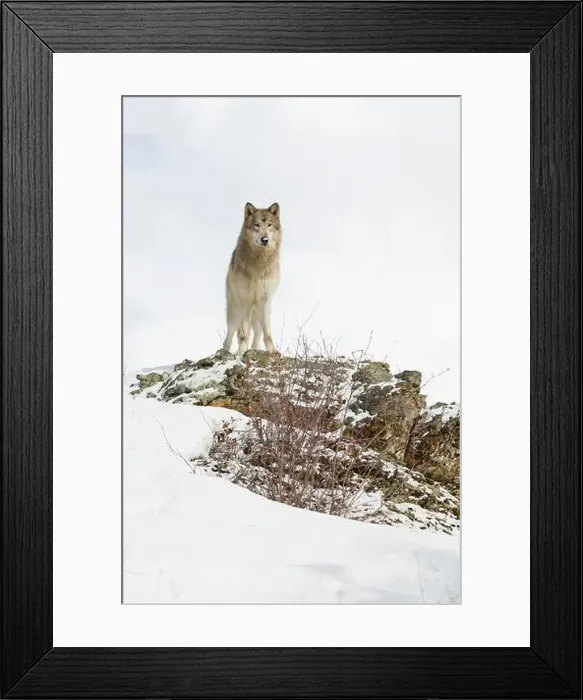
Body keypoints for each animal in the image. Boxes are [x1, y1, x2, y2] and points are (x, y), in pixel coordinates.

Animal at [223, 202, 282, 355]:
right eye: (256, 225)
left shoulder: (265, 300)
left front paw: (272, 351)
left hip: (257, 313)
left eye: (269, 225)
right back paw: (224, 352)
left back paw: (255, 349)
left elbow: (267, 333)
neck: (258, 264)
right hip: (235, 311)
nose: (264, 239)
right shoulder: (246, 300)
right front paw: (241, 352)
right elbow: (243, 333)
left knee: (257, 332)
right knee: (231, 333)